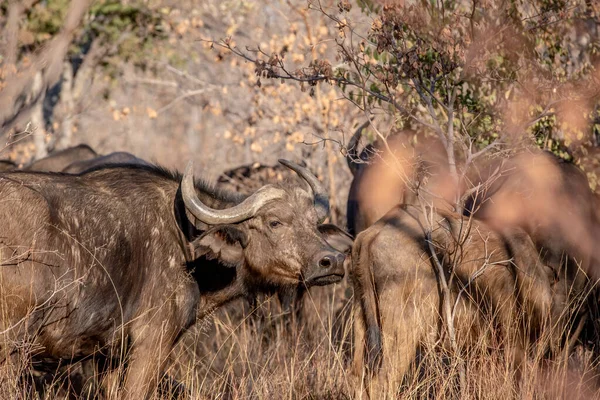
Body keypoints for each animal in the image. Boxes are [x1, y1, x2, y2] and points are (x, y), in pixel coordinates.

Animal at [0, 159, 350, 396]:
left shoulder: (108, 355)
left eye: (314, 224)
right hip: (13, 345)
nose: (331, 261)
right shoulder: (153, 343)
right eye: (275, 222)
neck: (187, 243)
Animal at [352, 205, 564, 392]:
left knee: (358, 378)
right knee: (383, 380)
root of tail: (373, 232)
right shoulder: (515, 342)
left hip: (363, 326)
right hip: (402, 333)